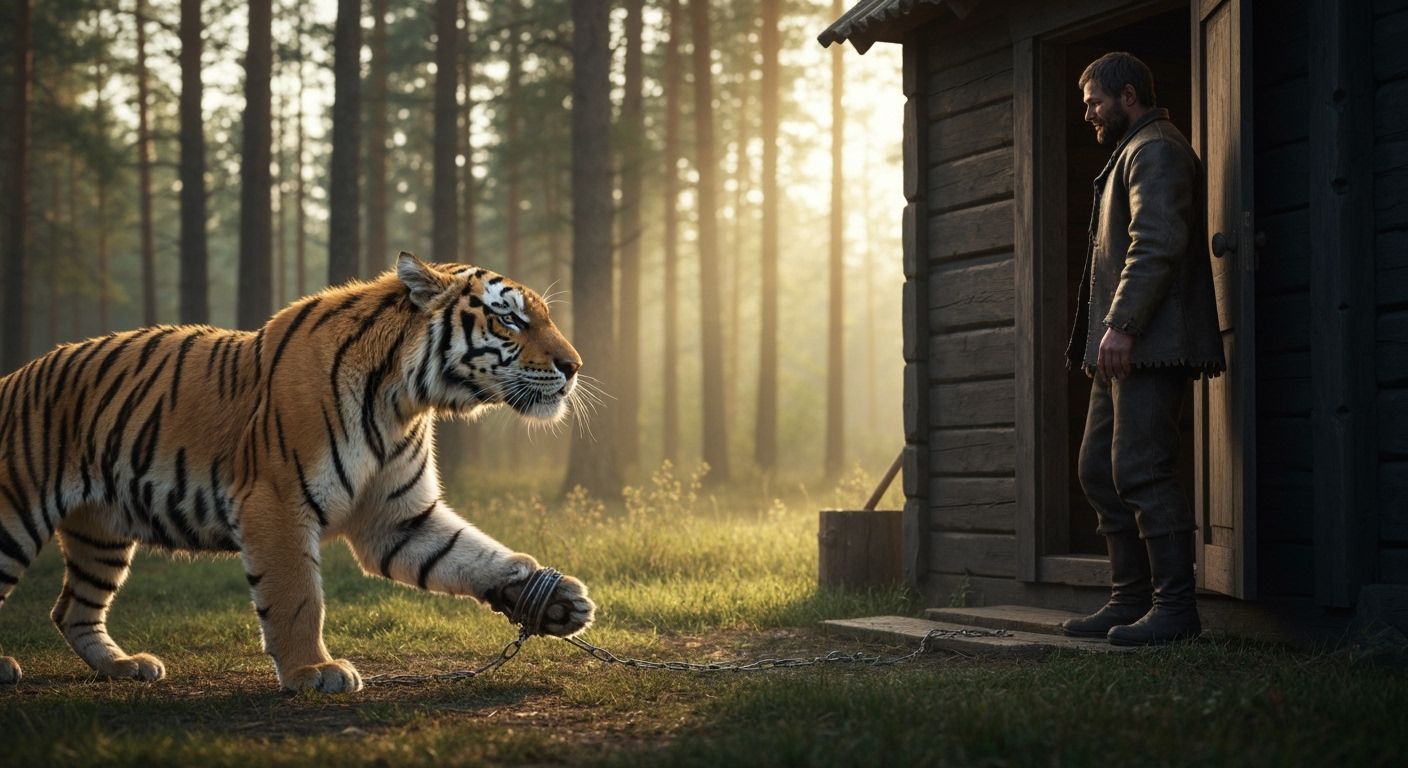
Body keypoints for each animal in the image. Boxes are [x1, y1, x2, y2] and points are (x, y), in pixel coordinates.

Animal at [0, 252, 595, 692]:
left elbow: (474, 555)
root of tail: (14, 376)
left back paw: (125, 667)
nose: (574, 366)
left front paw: (556, 599)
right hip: (14, 513)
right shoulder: (277, 501)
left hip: (101, 532)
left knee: (72, 609)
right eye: (510, 318)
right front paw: (314, 670)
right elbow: (296, 595)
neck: (405, 400)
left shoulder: (396, 519)